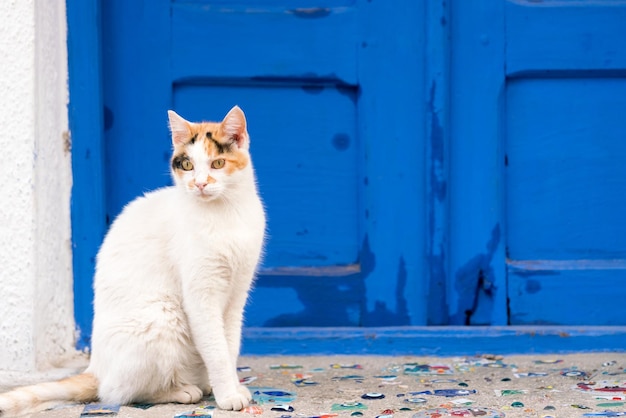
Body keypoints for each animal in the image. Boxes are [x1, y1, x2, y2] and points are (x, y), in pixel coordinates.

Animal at [0, 106, 266, 416]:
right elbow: (216, 349)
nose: (199, 184)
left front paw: (232, 387)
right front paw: (228, 395)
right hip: (162, 317)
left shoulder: (237, 294)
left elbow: (229, 346)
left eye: (218, 163)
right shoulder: (202, 296)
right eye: (188, 165)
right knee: (119, 392)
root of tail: (95, 368)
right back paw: (182, 390)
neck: (225, 214)